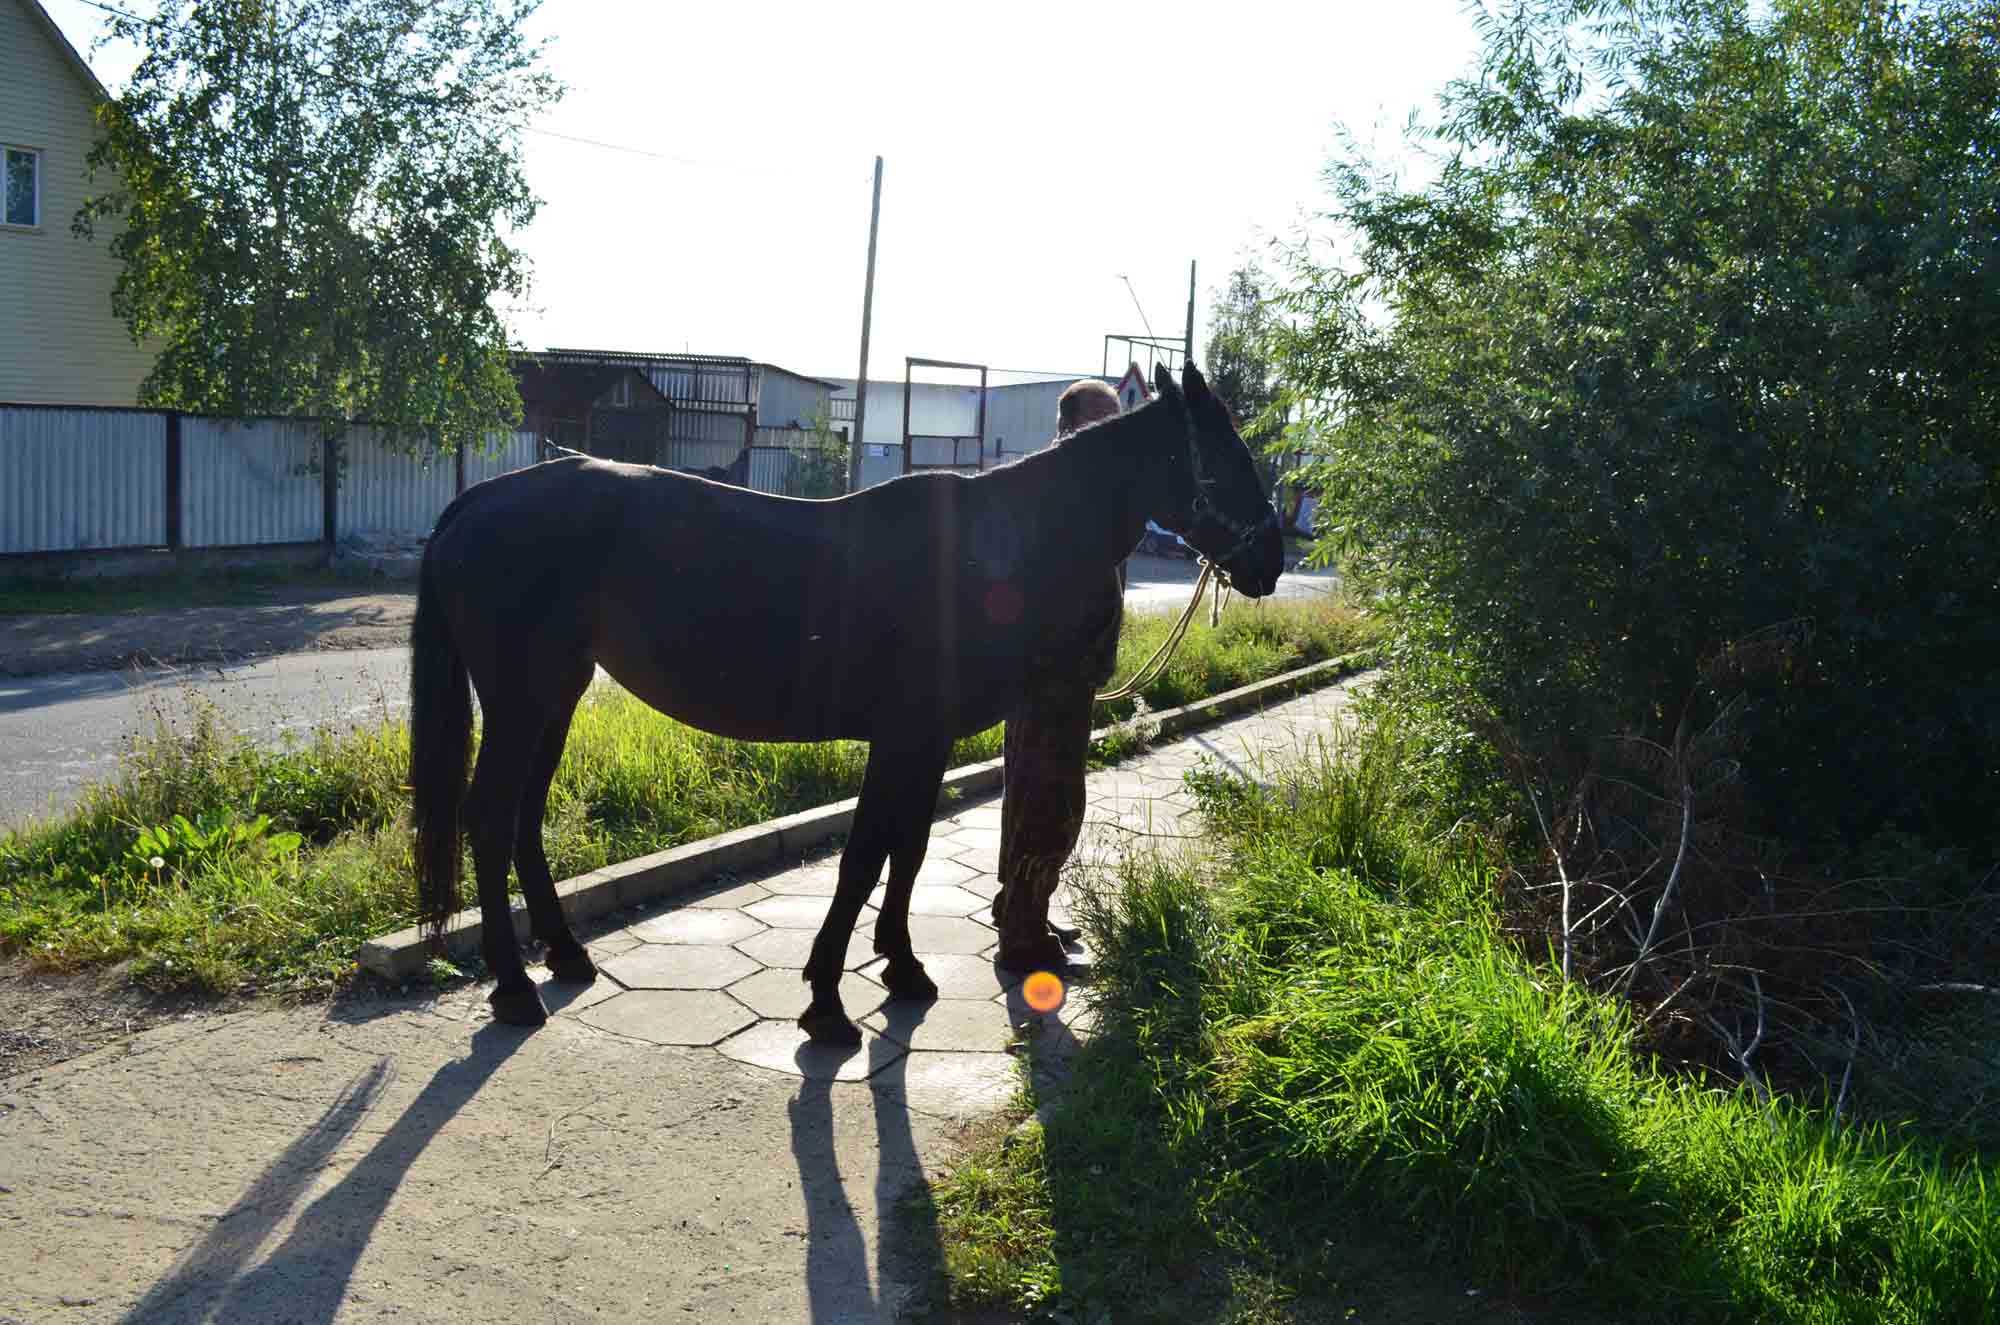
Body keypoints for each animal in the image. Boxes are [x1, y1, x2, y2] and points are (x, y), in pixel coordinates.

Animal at [410, 364, 1280, 1048]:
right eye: (1227, 453)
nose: (1271, 557)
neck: (988, 549)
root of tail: (473, 503)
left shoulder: (928, 744)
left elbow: (908, 851)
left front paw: (902, 965)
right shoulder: (901, 739)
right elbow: (863, 857)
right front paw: (827, 1000)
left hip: (554, 695)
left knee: (523, 817)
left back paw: (563, 954)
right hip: (523, 700)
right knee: (489, 816)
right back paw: (514, 987)